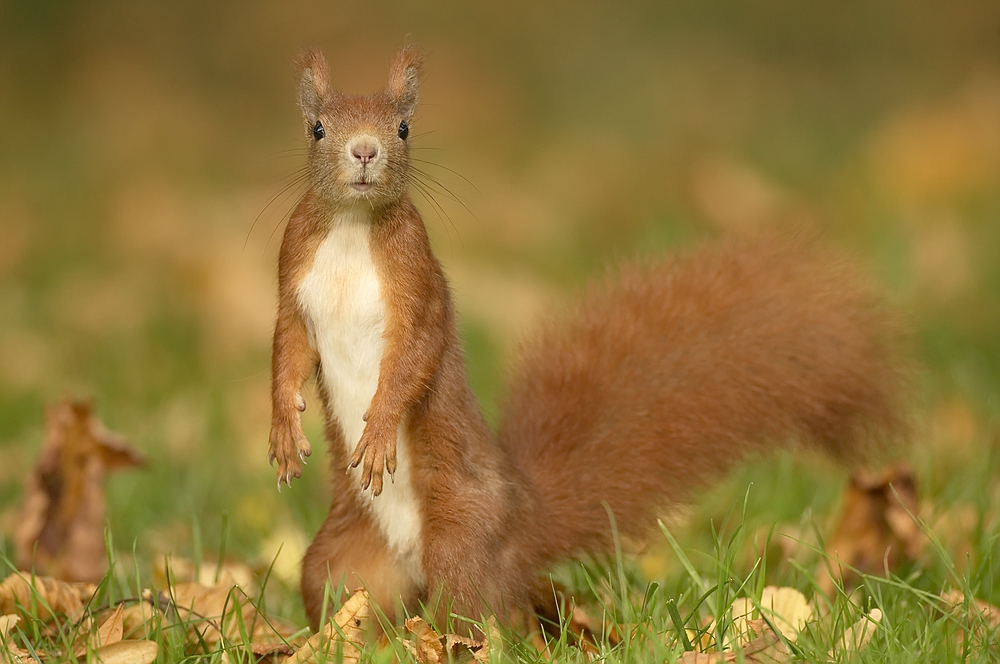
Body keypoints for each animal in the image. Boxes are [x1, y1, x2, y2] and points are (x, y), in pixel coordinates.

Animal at [268, 45, 916, 628]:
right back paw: (331, 640)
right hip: (341, 560)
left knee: (479, 615)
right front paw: (284, 431)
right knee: (341, 596)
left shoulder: (418, 288)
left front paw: (378, 431)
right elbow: (288, 351)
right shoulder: (293, 280)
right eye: (318, 129)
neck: (352, 229)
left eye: (403, 128)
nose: (365, 150)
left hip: (462, 538)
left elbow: (413, 359)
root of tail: (523, 516)